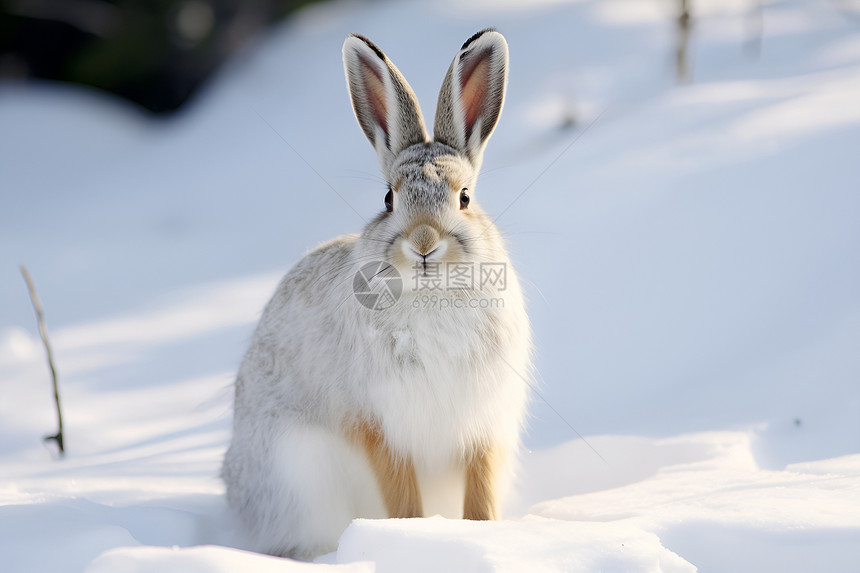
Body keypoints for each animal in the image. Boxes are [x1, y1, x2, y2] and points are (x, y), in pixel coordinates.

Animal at [222, 27, 532, 560]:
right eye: (388, 198)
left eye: (465, 197)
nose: (424, 243)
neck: (431, 297)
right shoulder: (378, 425)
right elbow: (401, 494)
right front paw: (411, 536)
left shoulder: (483, 428)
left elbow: (481, 491)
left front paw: (483, 532)